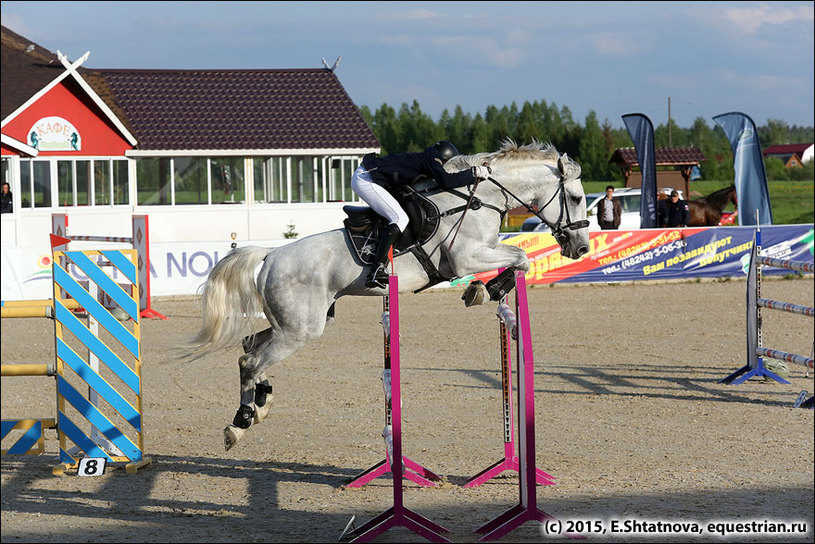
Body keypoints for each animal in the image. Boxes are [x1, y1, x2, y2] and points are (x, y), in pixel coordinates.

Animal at [190, 140, 588, 450]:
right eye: (575, 197)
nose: (581, 247)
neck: (477, 199)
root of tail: (271, 256)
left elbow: (518, 259)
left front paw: (484, 289)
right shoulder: (463, 258)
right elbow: (520, 257)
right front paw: (486, 289)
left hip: (294, 322)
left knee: (249, 349)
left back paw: (259, 406)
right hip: (300, 329)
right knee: (251, 360)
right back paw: (240, 422)